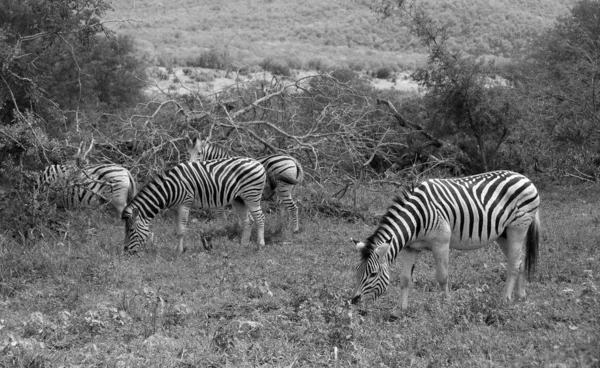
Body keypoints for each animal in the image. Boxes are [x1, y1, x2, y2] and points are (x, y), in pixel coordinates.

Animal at [122, 155, 268, 253]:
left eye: (131, 230)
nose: (126, 251)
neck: (169, 189)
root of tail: (257, 162)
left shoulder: (184, 204)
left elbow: (181, 229)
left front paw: (179, 251)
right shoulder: (175, 208)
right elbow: (176, 230)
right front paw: (180, 248)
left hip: (252, 195)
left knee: (260, 218)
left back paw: (260, 245)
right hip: (239, 199)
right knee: (248, 221)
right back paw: (243, 246)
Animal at [350, 170, 540, 314]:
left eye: (373, 274)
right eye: (357, 271)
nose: (354, 301)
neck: (416, 218)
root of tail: (524, 177)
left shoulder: (441, 242)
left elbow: (442, 276)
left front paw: (447, 305)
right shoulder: (410, 248)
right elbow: (404, 279)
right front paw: (400, 310)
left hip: (518, 227)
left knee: (513, 265)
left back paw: (505, 299)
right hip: (504, 234)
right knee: (520, 260)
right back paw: (520, 296)